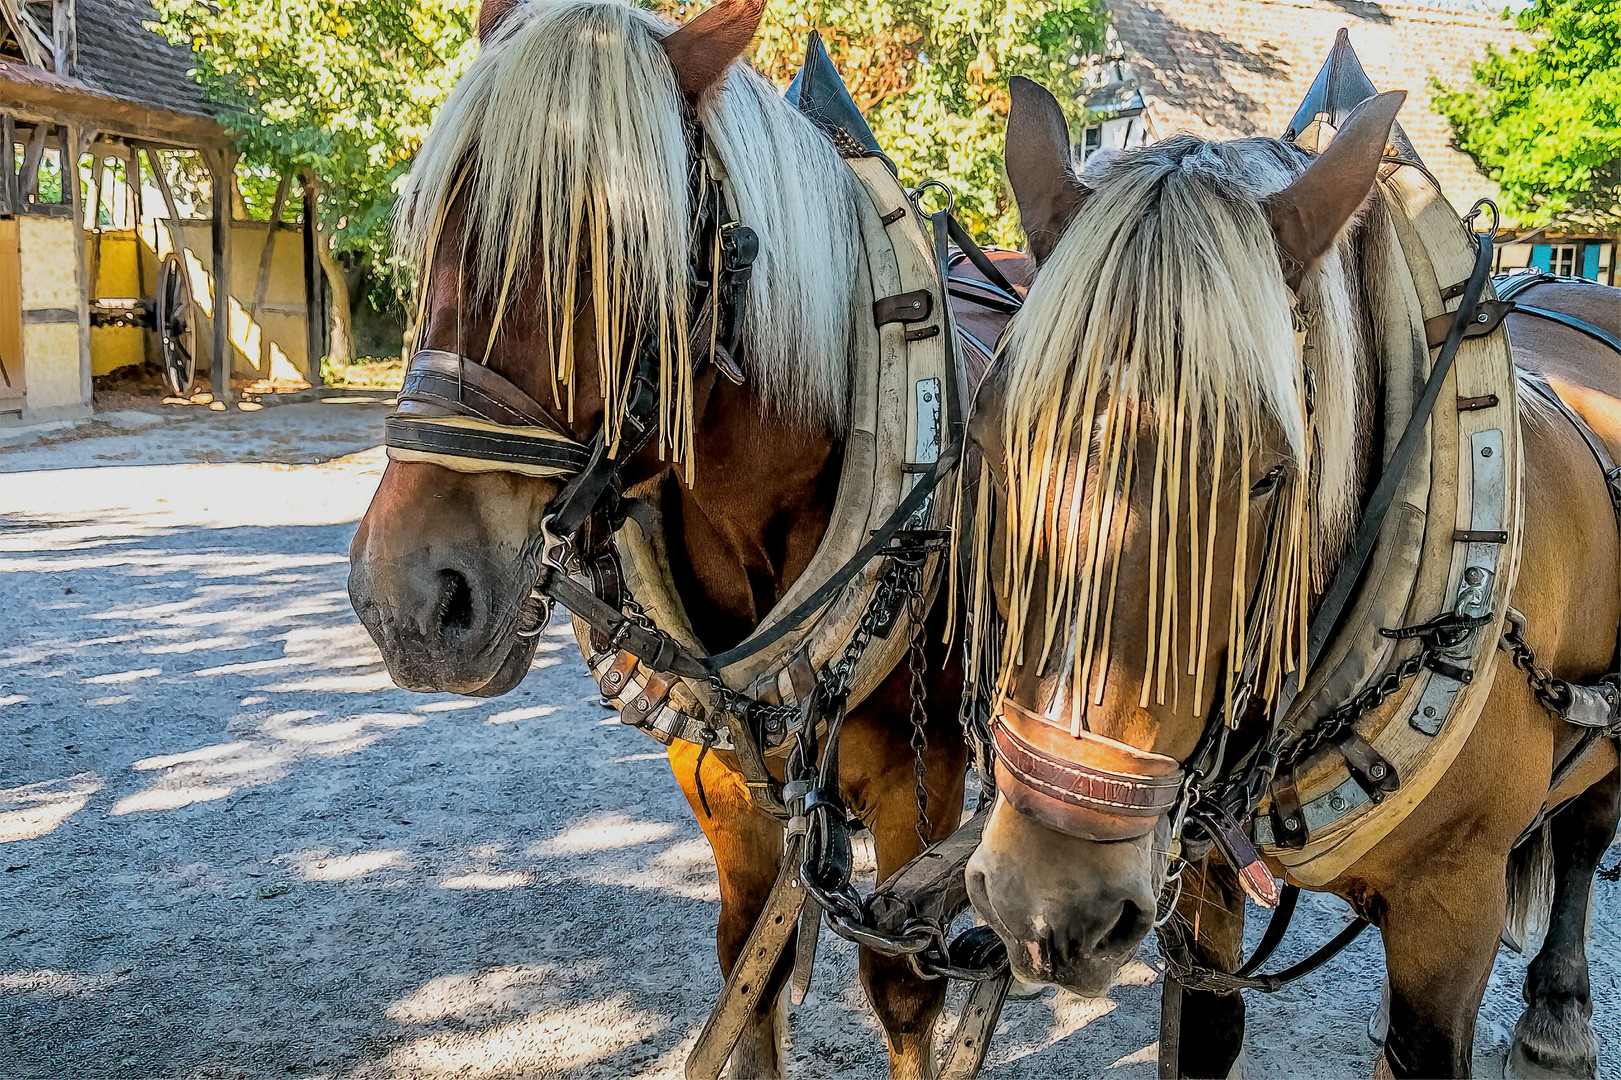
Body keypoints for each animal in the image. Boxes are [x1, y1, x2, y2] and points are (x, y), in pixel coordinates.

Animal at [348, 4, 1011, 1070]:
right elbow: (751, 978)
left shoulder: (926, 784)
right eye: (434, 223)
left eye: (614, 245)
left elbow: (903, 994)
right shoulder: (725, 787)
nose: (408, 600)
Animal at [959, 77, 1621, 1076]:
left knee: (1586, 831)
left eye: (1270, 474)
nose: (1047, 903)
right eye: (994, 437)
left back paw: (1556, 1016)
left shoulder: (1452, 908)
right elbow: (1206, 1032)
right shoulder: (1197, 874)